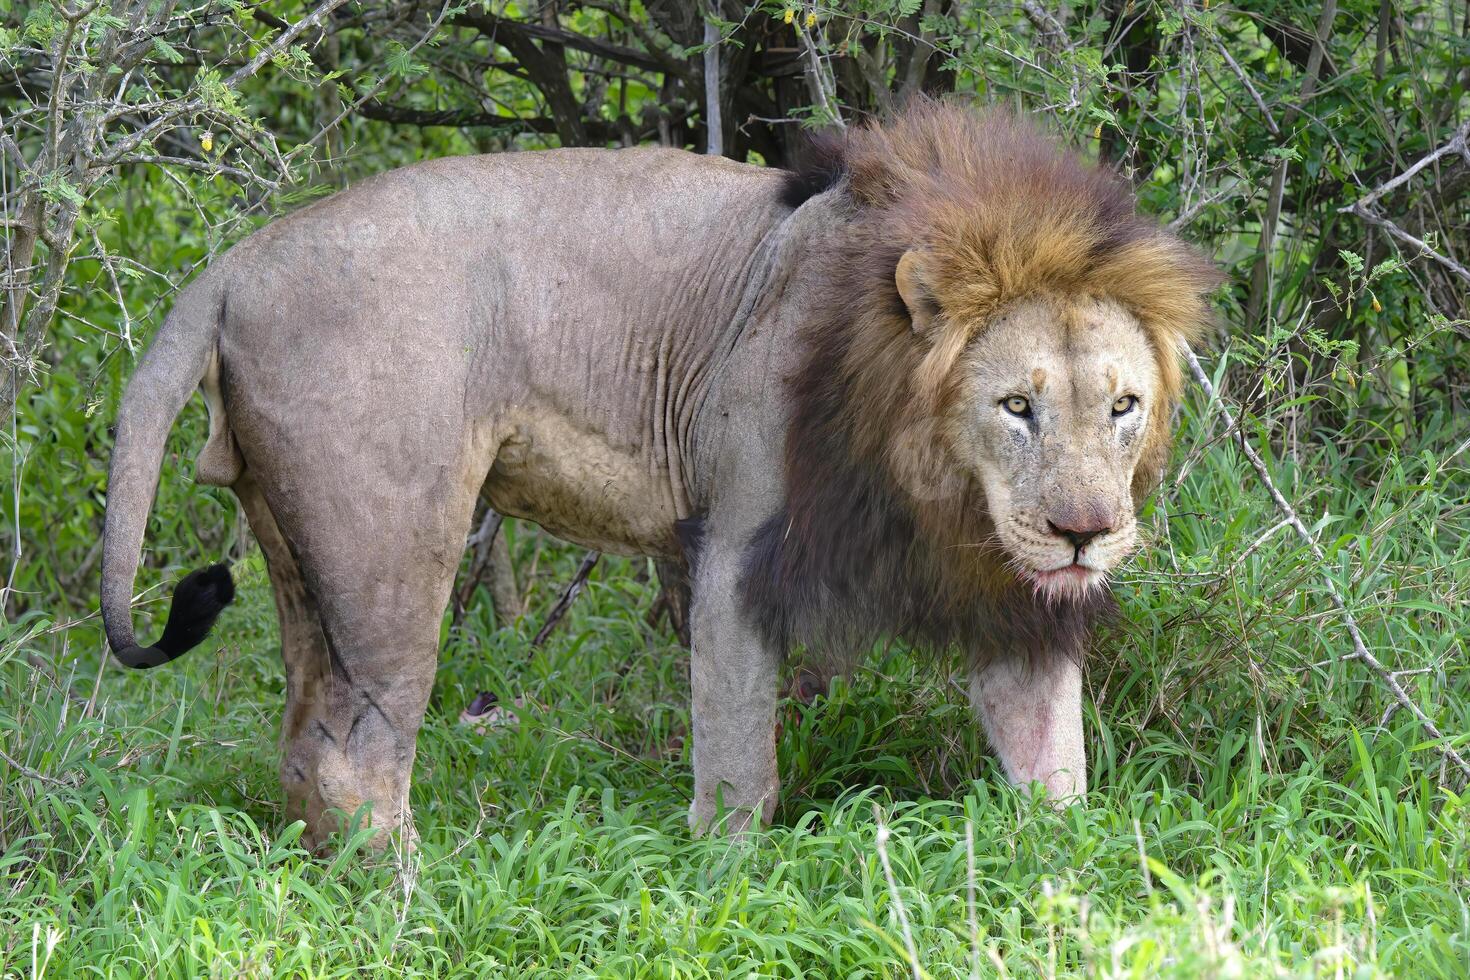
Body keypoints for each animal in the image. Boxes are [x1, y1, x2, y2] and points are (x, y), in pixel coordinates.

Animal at [103, 101, 1217, 852]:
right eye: (1016, 406)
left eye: (1122, 406)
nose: (1084, 532)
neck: (934, 479)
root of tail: (238, 261)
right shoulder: (734, 548)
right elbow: (737, 758)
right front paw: (726, 880)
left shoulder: (1003, 588)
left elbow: (1051, 756)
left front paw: (1066, 872)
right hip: (391, 538)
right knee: (358, 747)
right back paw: (410, 904)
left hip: (298, 543)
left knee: (304, 739)